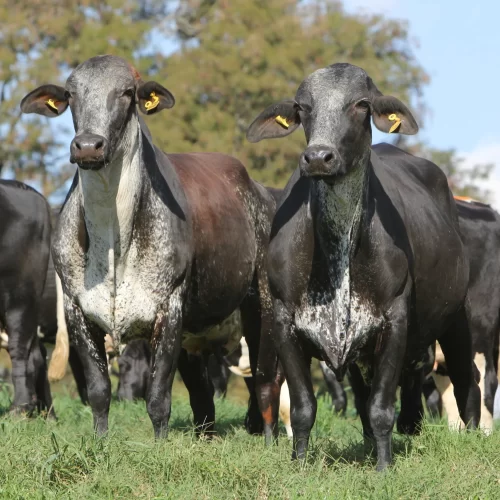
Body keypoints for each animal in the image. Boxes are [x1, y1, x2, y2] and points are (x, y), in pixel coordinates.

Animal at [20, 52, 278, 440]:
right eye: (71, 93)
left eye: (127, 92)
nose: (88, 145)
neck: (113, 239)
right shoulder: (77, 311)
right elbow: (98, 390)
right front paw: (101, 440)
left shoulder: (169, 309)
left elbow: (157, 396)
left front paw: (159, 445)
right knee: (203, 394)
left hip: (257, 308)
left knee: (262, 378)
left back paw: (267, 434)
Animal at [246, 62, 480, 468]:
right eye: (302, 107)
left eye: (361, 104)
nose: (317, 157)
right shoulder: (283, 321)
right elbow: (304, 407)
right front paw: (300, 465)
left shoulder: (395, 319)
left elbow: (381, 408)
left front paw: (384, 468)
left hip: (457, 322)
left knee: (466, 384)